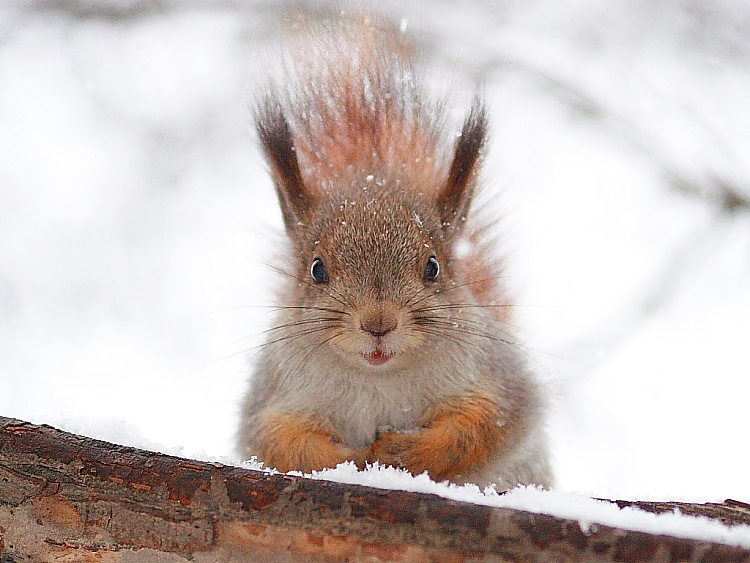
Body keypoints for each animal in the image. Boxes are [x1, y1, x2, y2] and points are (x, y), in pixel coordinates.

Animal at [237, 12, 552, 489]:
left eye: (433, 267)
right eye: (316, 269)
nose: (378, 324)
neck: (379, 377)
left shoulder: (498, 378)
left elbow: (480, 428)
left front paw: (406, 451)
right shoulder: (274, 396)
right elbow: (283, 441)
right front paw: (349, 460)